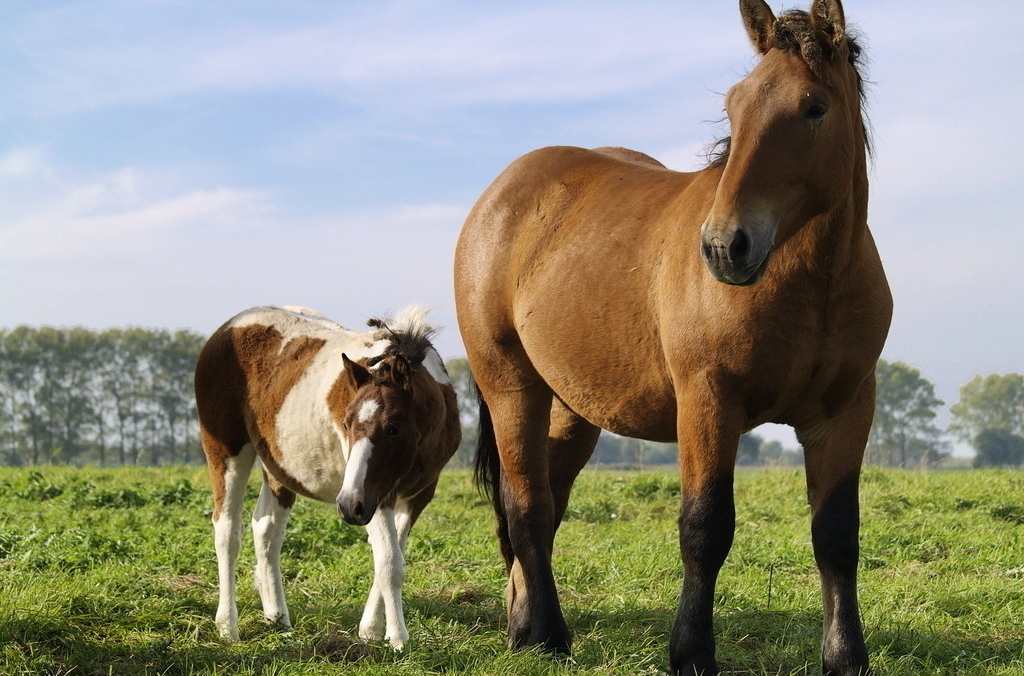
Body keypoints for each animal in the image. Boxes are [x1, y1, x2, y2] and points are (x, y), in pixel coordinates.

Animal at [191, 303, 460, 647]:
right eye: (346, 424)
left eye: (393, 428)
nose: (346, 505)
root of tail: (225, 330)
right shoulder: (375, 494)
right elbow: (389, 561)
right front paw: (398, 638)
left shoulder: (417, 494)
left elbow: (392, 557)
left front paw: (371, 630)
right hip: (226, 451)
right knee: (227, 531)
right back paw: (228, 627)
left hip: (279, 468)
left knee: (266, 528)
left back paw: (277, 617)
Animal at [454, 2, 888, 671]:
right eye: (735, 105)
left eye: (813, 107)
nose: (724, 246)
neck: (813, 282)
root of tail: (500, 194)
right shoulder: (708, 401)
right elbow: (705, 527)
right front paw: (690, 652)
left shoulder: (844, 410)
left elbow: (836, 534)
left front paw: (846, 657)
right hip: (511, 388)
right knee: (527, 505)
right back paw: (548, 635)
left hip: (574, 409)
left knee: (547, 505)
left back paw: (523, 622)